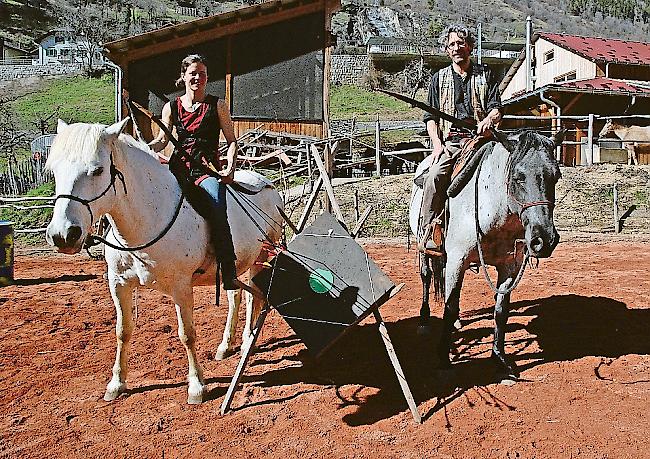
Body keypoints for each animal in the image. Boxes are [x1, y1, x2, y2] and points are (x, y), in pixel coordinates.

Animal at [43, 119, 280, 406]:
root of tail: (266, 184)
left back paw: (247, 341)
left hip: (262, 255)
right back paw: (226, 345)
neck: (149, 218)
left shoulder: (181, 288)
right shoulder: (118, 284)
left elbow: (187, 334)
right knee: (237, 296)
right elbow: (123, 331)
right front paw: (116, 384)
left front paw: (197, 386)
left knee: (254, 295)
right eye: (54, 171)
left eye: (98, 170)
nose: (62, 235)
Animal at [410, 129, 560, 380]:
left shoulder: (509, 266)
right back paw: (423, 319)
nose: (544, 240)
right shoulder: (457, 260)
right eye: (518, 177)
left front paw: (499, 359)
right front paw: (443, 359)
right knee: (426, 276)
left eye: (556, 176)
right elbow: (450, 307)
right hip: (422, 244)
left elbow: (500, 311)